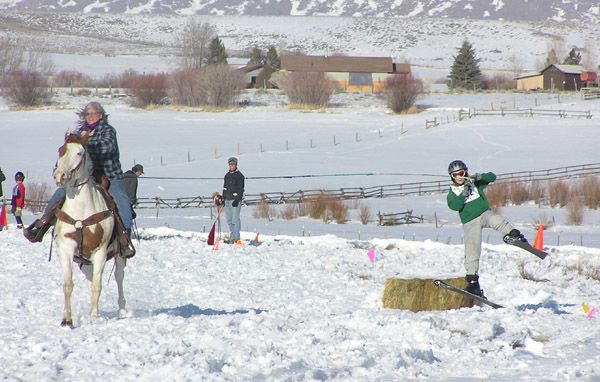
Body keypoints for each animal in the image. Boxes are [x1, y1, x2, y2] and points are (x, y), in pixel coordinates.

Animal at [51, 131, 126, 326]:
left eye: (79, 153)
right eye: (60, 150)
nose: (60, 176)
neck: (82, 210)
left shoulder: (100, 252)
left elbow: (97, 286)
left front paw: (94, 317)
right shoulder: (67, 249)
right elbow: (68, 285)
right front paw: (67, 319)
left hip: (119, 255)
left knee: (119, 278)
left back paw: (122, 310)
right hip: (84, 262)